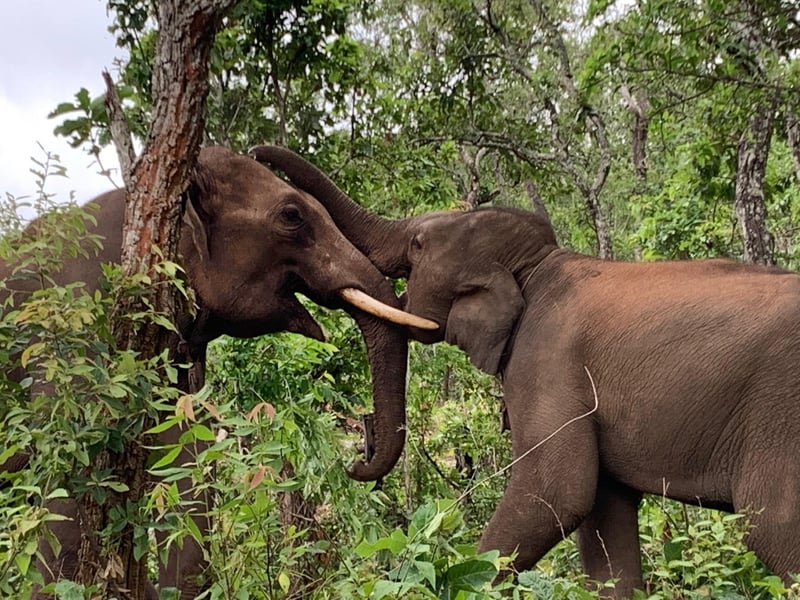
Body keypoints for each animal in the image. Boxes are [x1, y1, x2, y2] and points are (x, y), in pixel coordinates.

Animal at [251, 145, 800, 598]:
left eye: (419, 244)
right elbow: (603, 517)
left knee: (772, 527)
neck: (538, 265)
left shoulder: (547, 360)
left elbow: (557, 489)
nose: (355, 462)